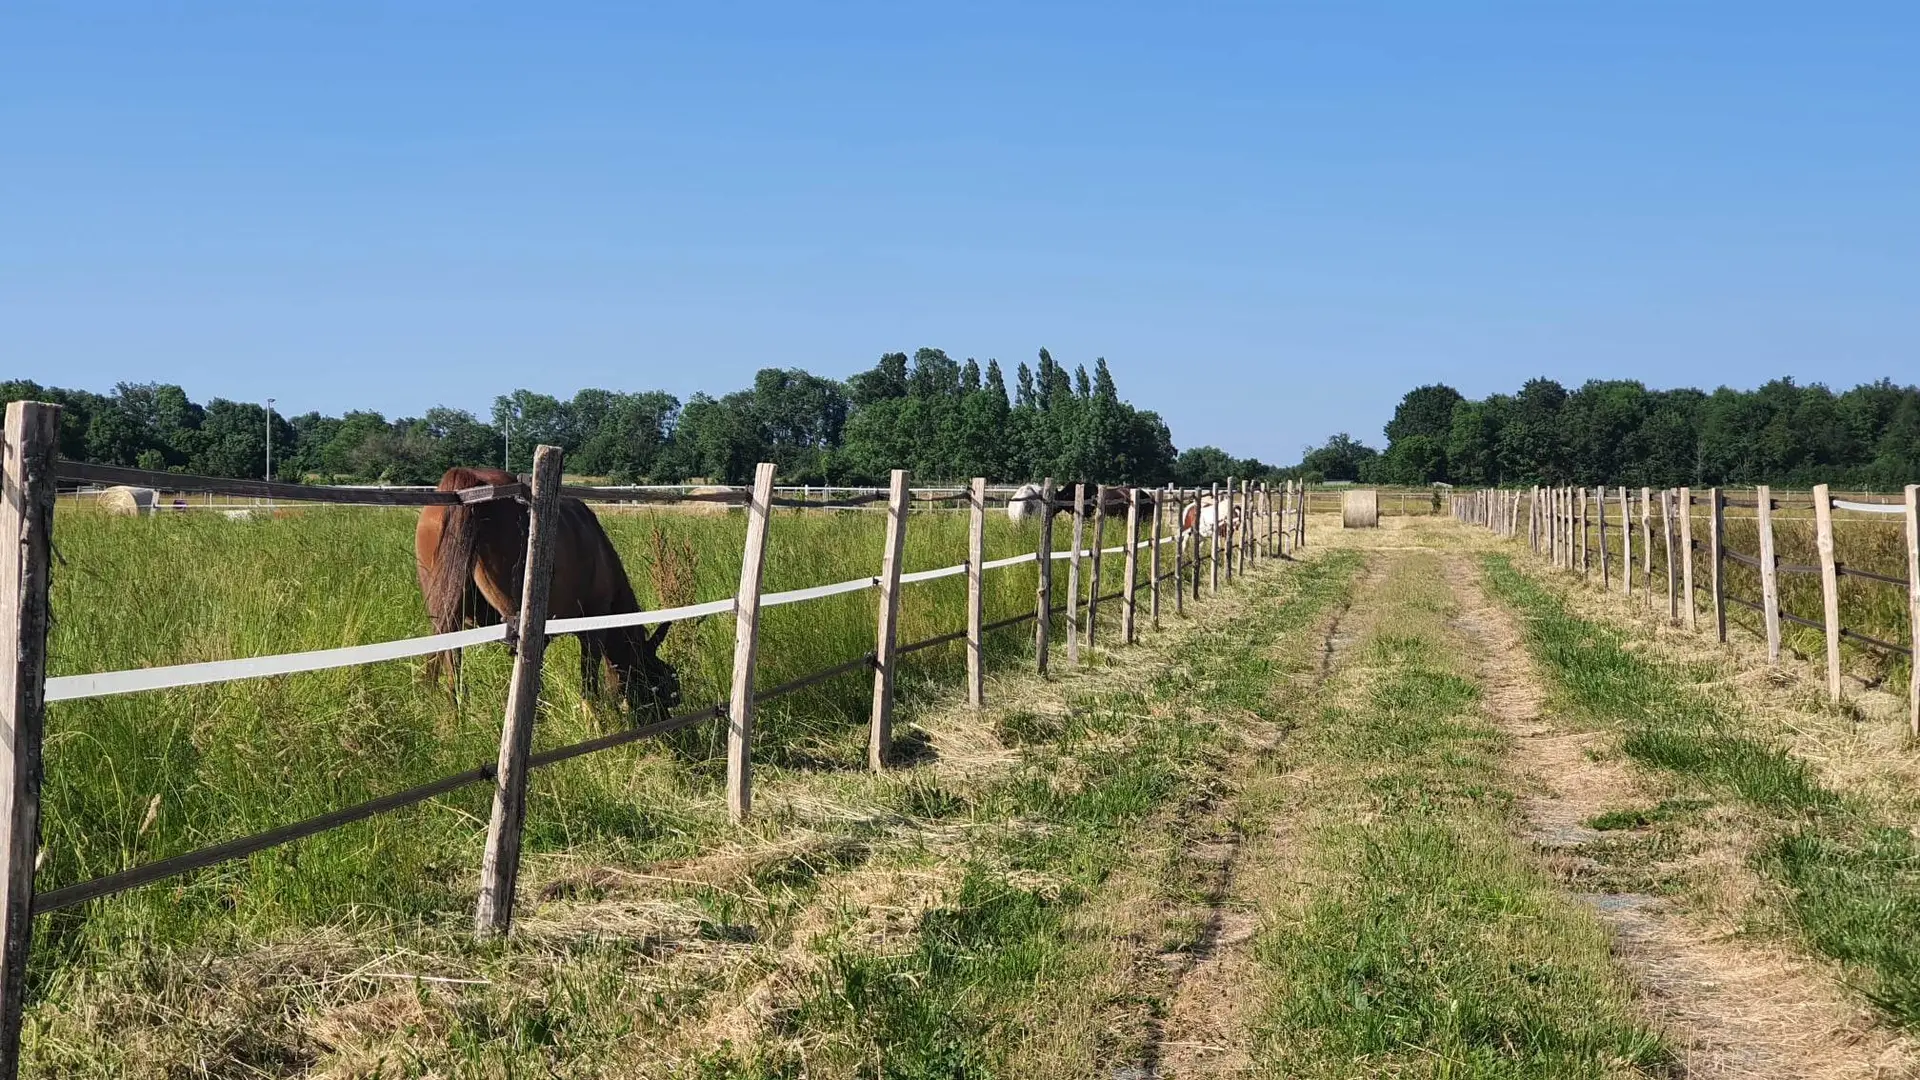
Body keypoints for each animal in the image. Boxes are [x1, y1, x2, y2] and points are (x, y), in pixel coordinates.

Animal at [414, 466, 683, 718]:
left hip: (448, 616)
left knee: (453, 667)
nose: (664, 718)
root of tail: (470, 479)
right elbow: (588, 680)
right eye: (661, 684)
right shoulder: (593, 629)